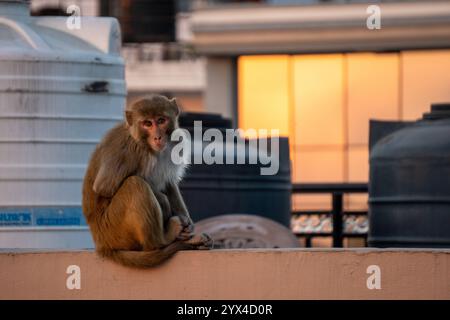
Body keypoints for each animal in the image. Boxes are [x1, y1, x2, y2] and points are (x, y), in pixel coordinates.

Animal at [83, 94, 213, 268]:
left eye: (161, 120)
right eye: (147, 124)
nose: (158, 136)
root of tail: (102, 244)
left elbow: (168, 183)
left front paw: (189, 225)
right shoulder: (130, 148)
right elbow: (104, 187)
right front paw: (163, 201)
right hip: (113, 229)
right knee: (134, 185)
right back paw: (162, 239)